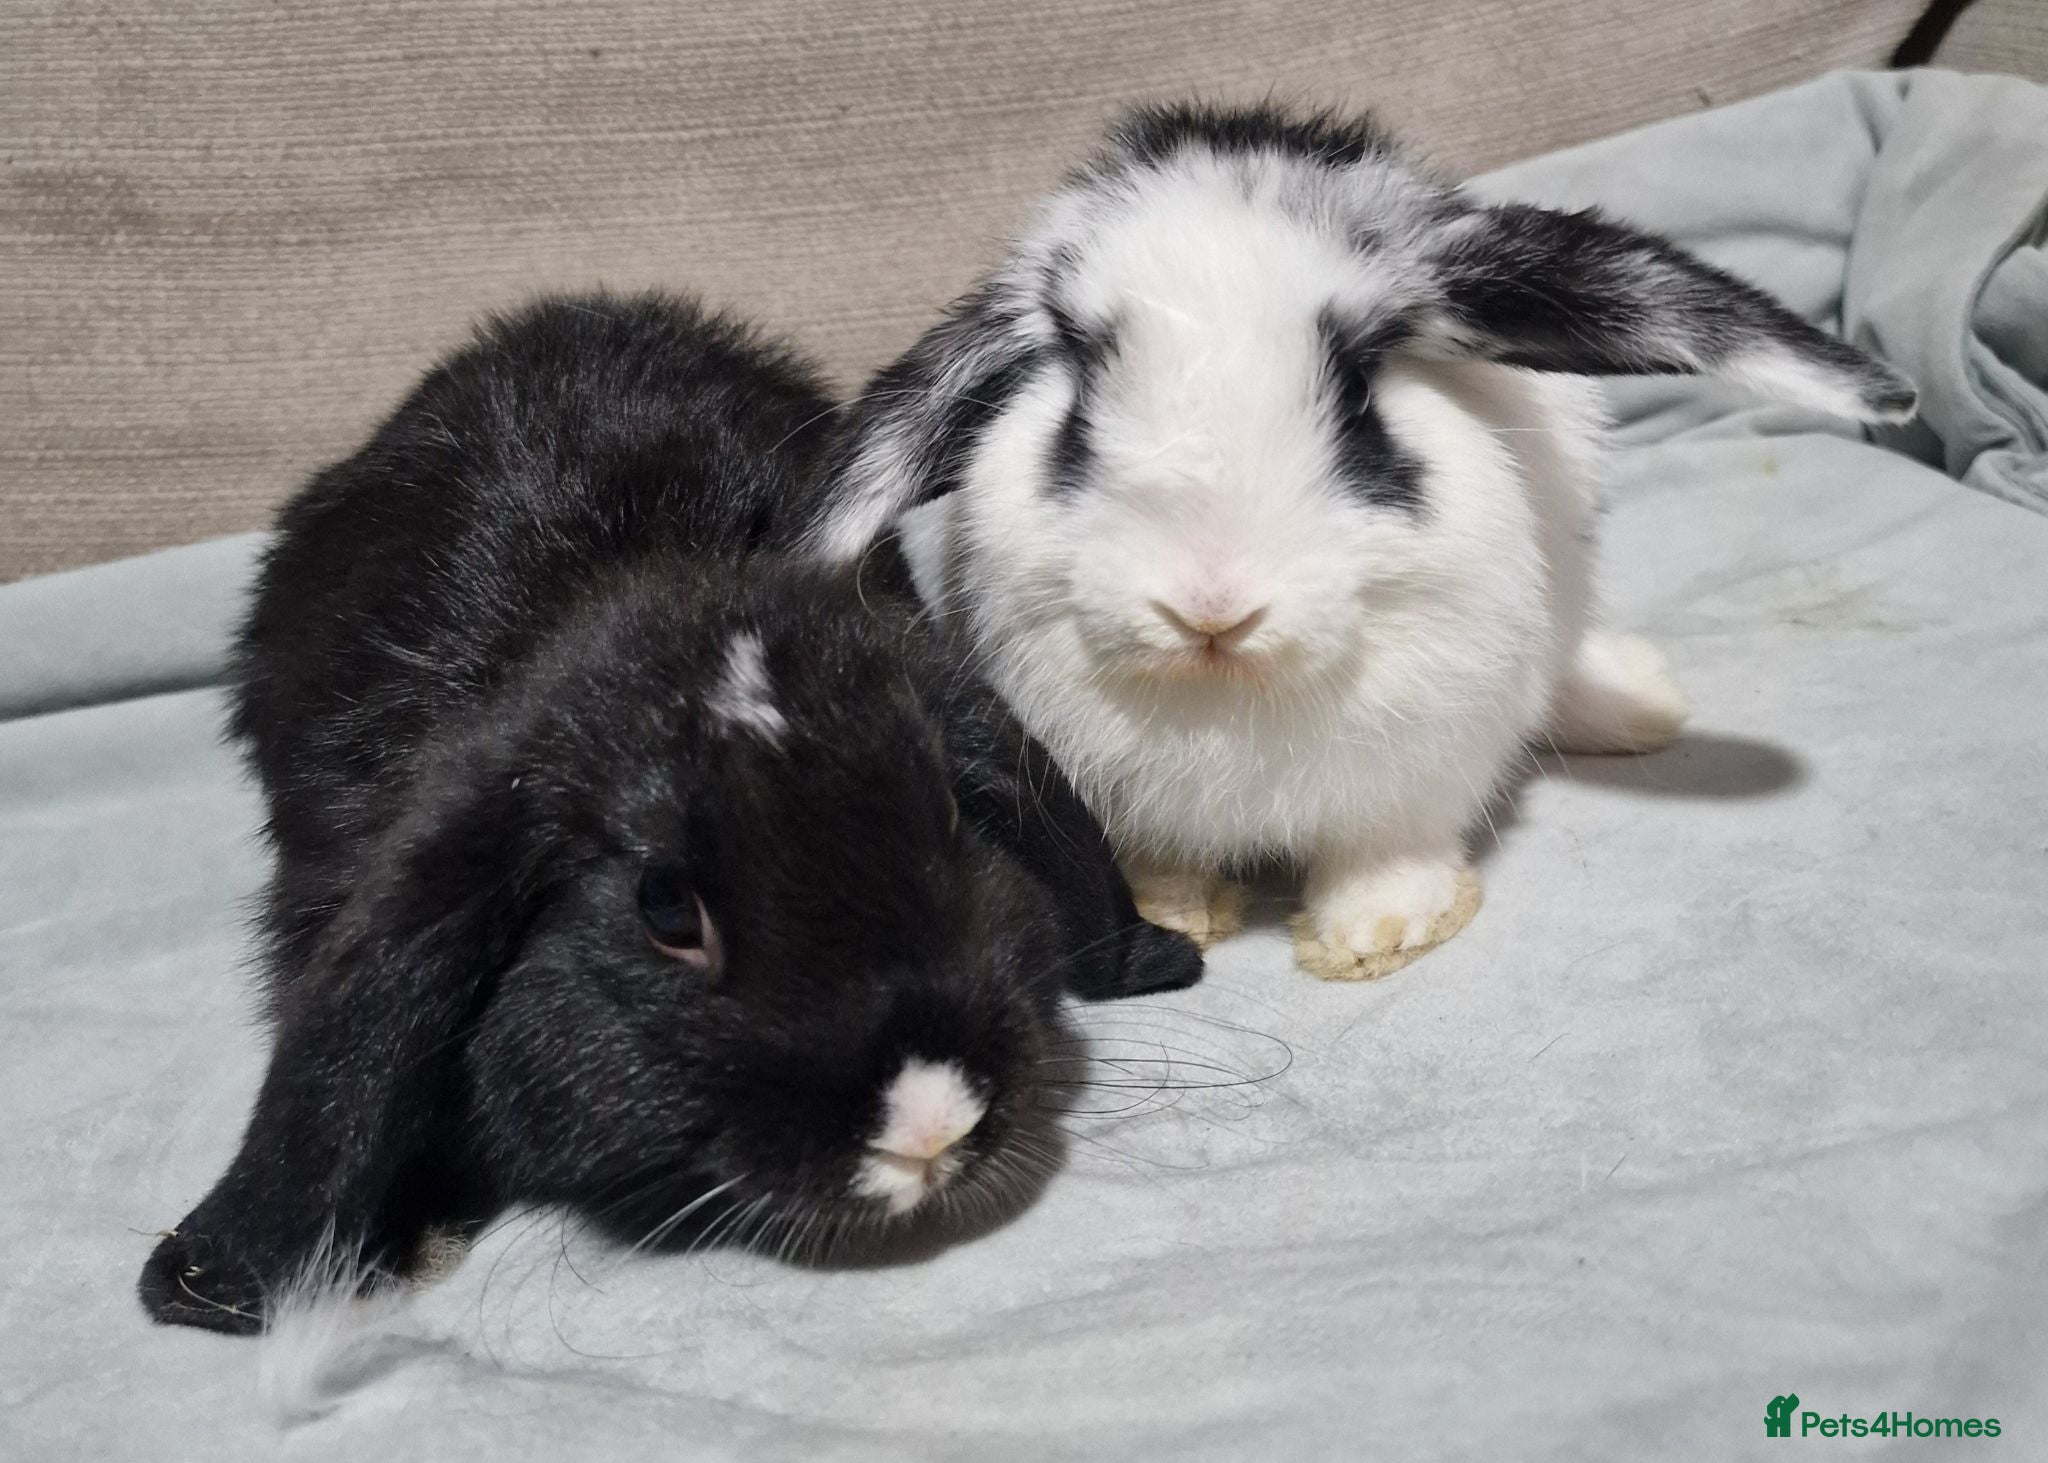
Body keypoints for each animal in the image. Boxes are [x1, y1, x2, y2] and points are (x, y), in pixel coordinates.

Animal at [804, 102, 1917, 981]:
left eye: (1358, 406)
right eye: (1074, 415)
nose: (1208, 607)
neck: (1234, 694)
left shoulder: (1420, 772)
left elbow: (1386, 851)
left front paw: (1375, 936)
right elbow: (1162, 862)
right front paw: (1177, 913)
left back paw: (1643, 705)